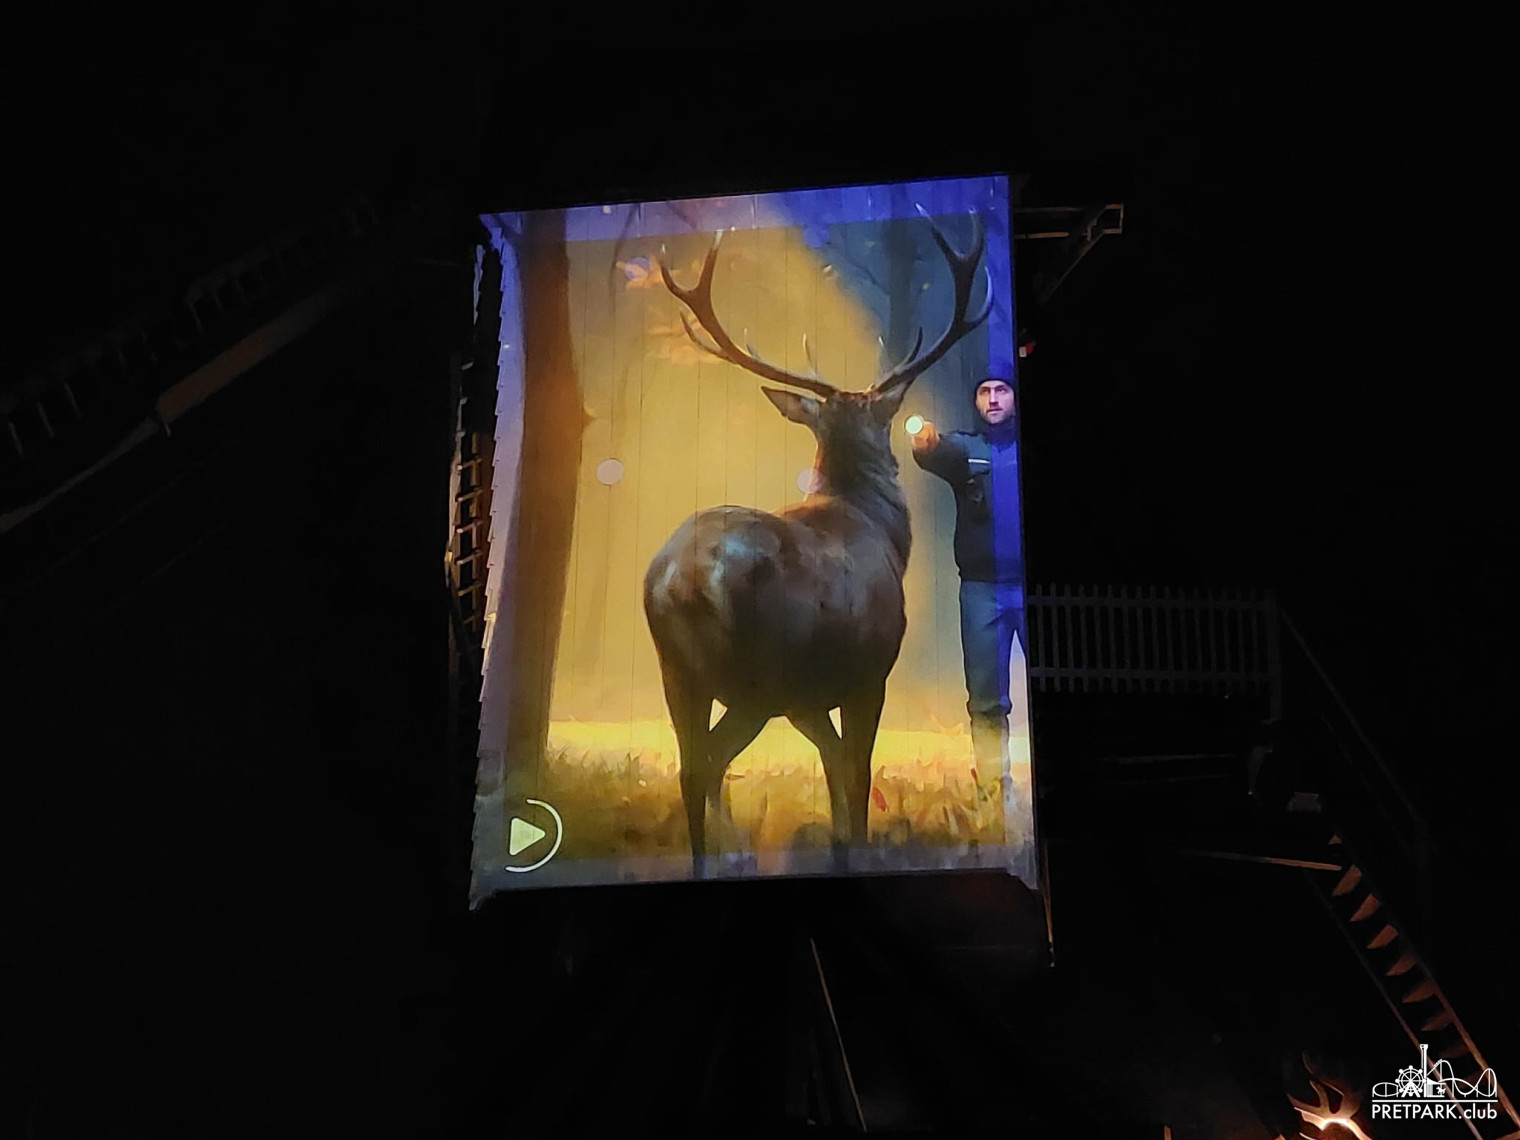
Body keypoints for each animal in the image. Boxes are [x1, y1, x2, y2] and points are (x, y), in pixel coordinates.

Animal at [643, 209, 991, 871]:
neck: (884, 532)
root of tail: (680, 578)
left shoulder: (810, 697)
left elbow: (831, 765)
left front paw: (839, 848)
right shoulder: (869, 671)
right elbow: (856, 770)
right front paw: (860, 847)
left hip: (678, 673)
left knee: (689, 766)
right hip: (759, 673)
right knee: (710, 762)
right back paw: (735, 852)